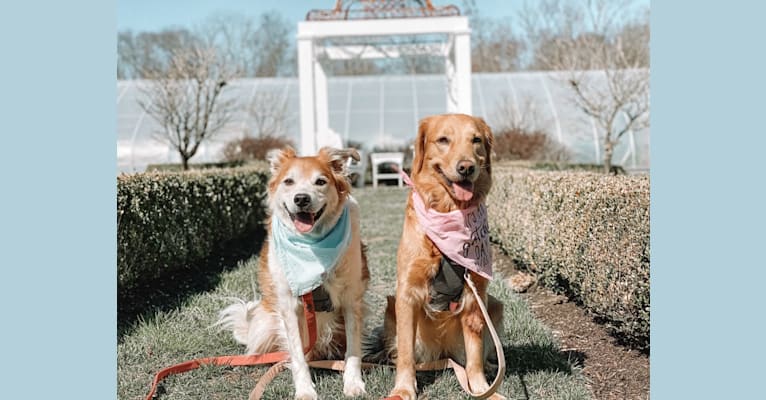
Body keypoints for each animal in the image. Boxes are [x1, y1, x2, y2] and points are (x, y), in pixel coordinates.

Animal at [218, 147, 370, 400]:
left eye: (321, 181)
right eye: (288, 181)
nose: (301, 198)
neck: (312, 246)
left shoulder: (352, 299)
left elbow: (353, 348)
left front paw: (353, 382)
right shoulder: (289, 306)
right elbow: (297, 353)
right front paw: (305, 389)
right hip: (264, 324)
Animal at [368, 114, 508, 400]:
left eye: (476, 140)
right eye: (443, 140)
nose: (466, 168)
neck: (449, 210)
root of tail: (443, 353)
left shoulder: (475, 293)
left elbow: (475, 353)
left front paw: (482, 388)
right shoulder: (407, 292)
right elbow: (406, 354)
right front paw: (403, 388)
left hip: (494, 305)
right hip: (391, 306)